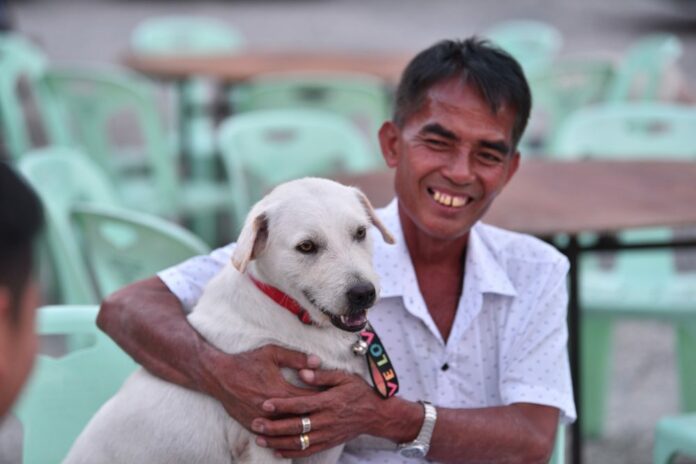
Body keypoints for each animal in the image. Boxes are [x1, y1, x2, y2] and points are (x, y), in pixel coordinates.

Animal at [66, 178, 396, 464]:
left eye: (360, 233)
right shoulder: (267, 443)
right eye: (306, 246)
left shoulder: (328, 437)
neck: (290, 314)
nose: (363, 293)